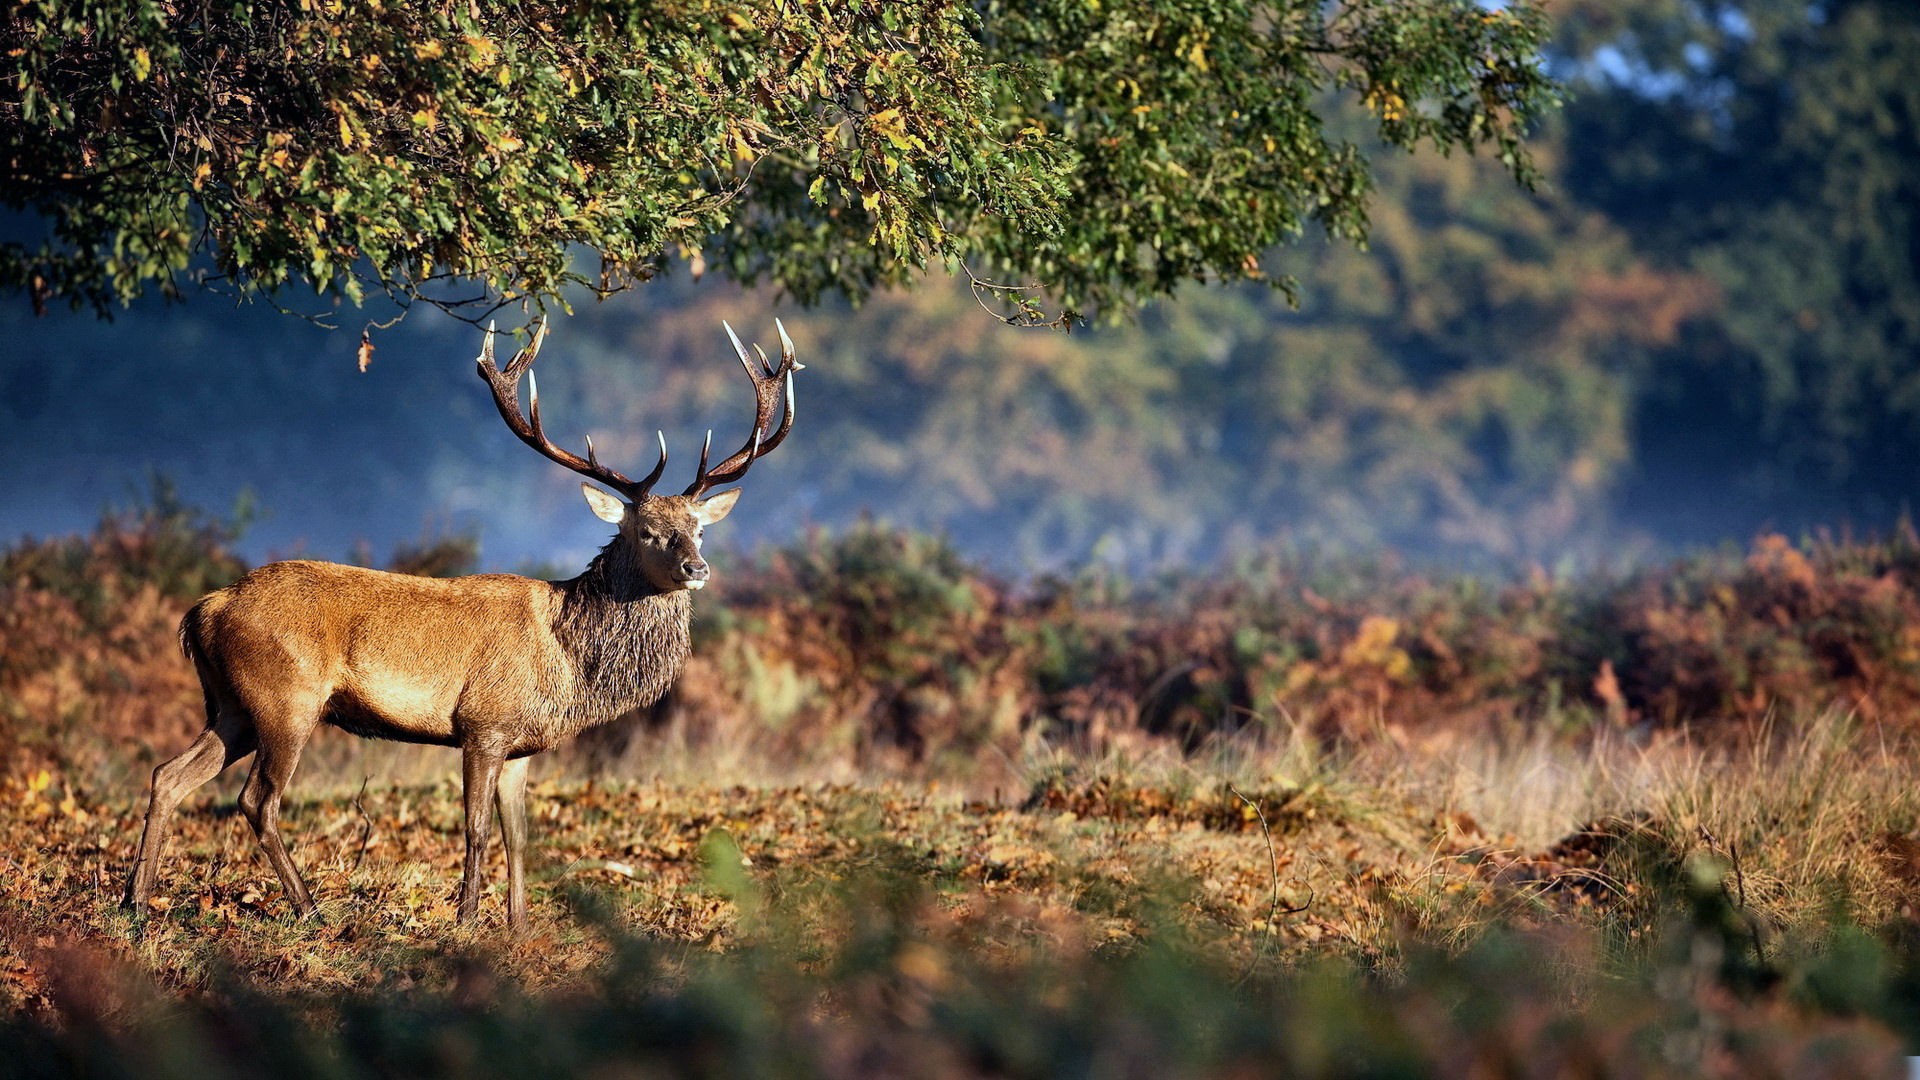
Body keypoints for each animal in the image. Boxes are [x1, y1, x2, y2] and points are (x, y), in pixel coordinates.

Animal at [123, 318, 801, 928]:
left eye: (699, 528)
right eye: (647, 531)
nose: (696, 567)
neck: (568, 661)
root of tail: (205, 609)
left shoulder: (524, 744)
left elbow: (518, 835)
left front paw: (519, 926)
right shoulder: (482, 724)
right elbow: (474, 828)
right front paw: (468, 920)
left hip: (232, 705)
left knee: (168, 776)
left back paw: (136, 904)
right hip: (285, 698)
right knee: (257, 801)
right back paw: (310, 908)